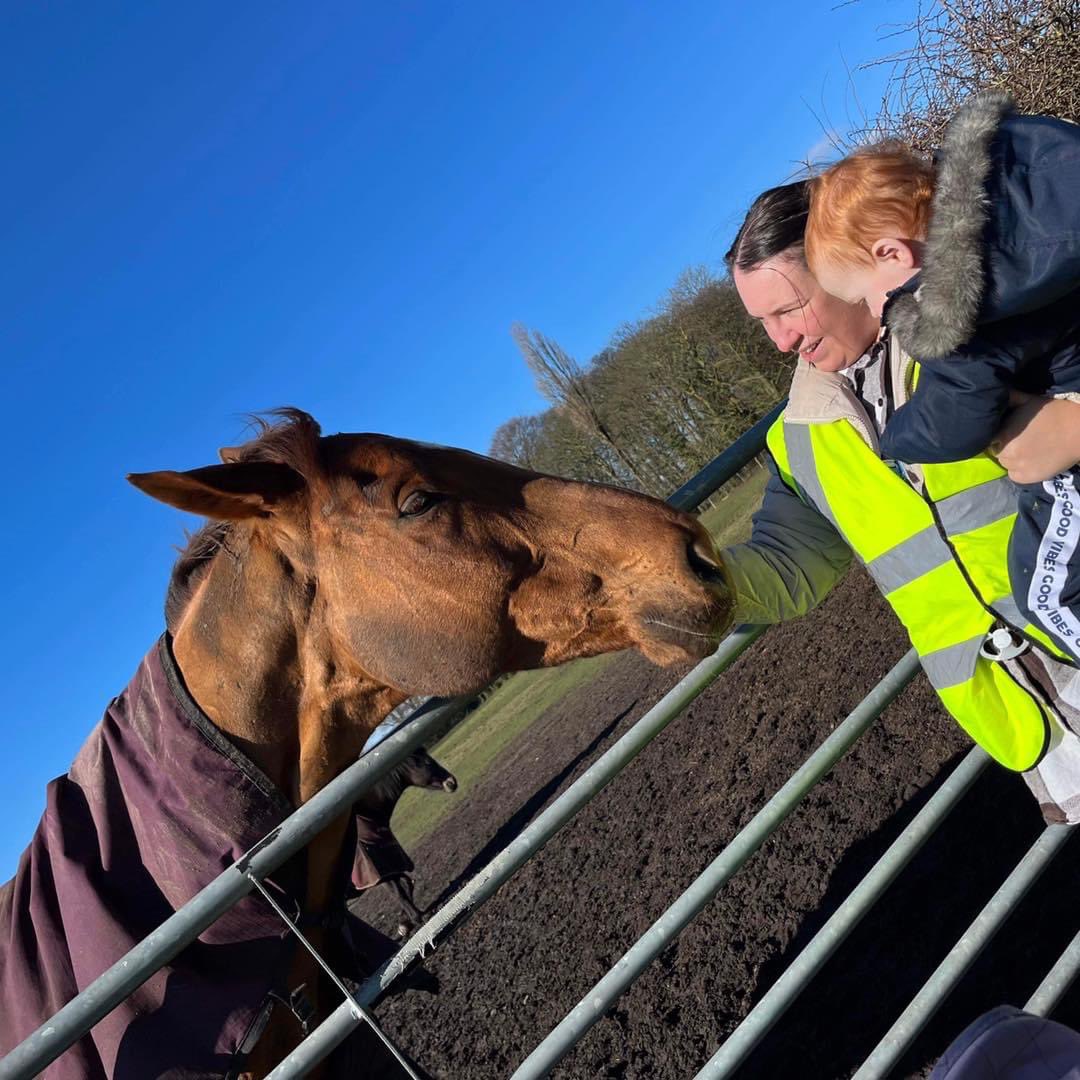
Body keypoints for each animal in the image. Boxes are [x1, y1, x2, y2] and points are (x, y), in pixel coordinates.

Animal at [349, 748, 458, 939]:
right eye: (426, 762)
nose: (452, 782)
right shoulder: (380, 872)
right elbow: (399, 893)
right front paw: (416, 919)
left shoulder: (391, 864)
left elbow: (407, 882)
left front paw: (406, 923)